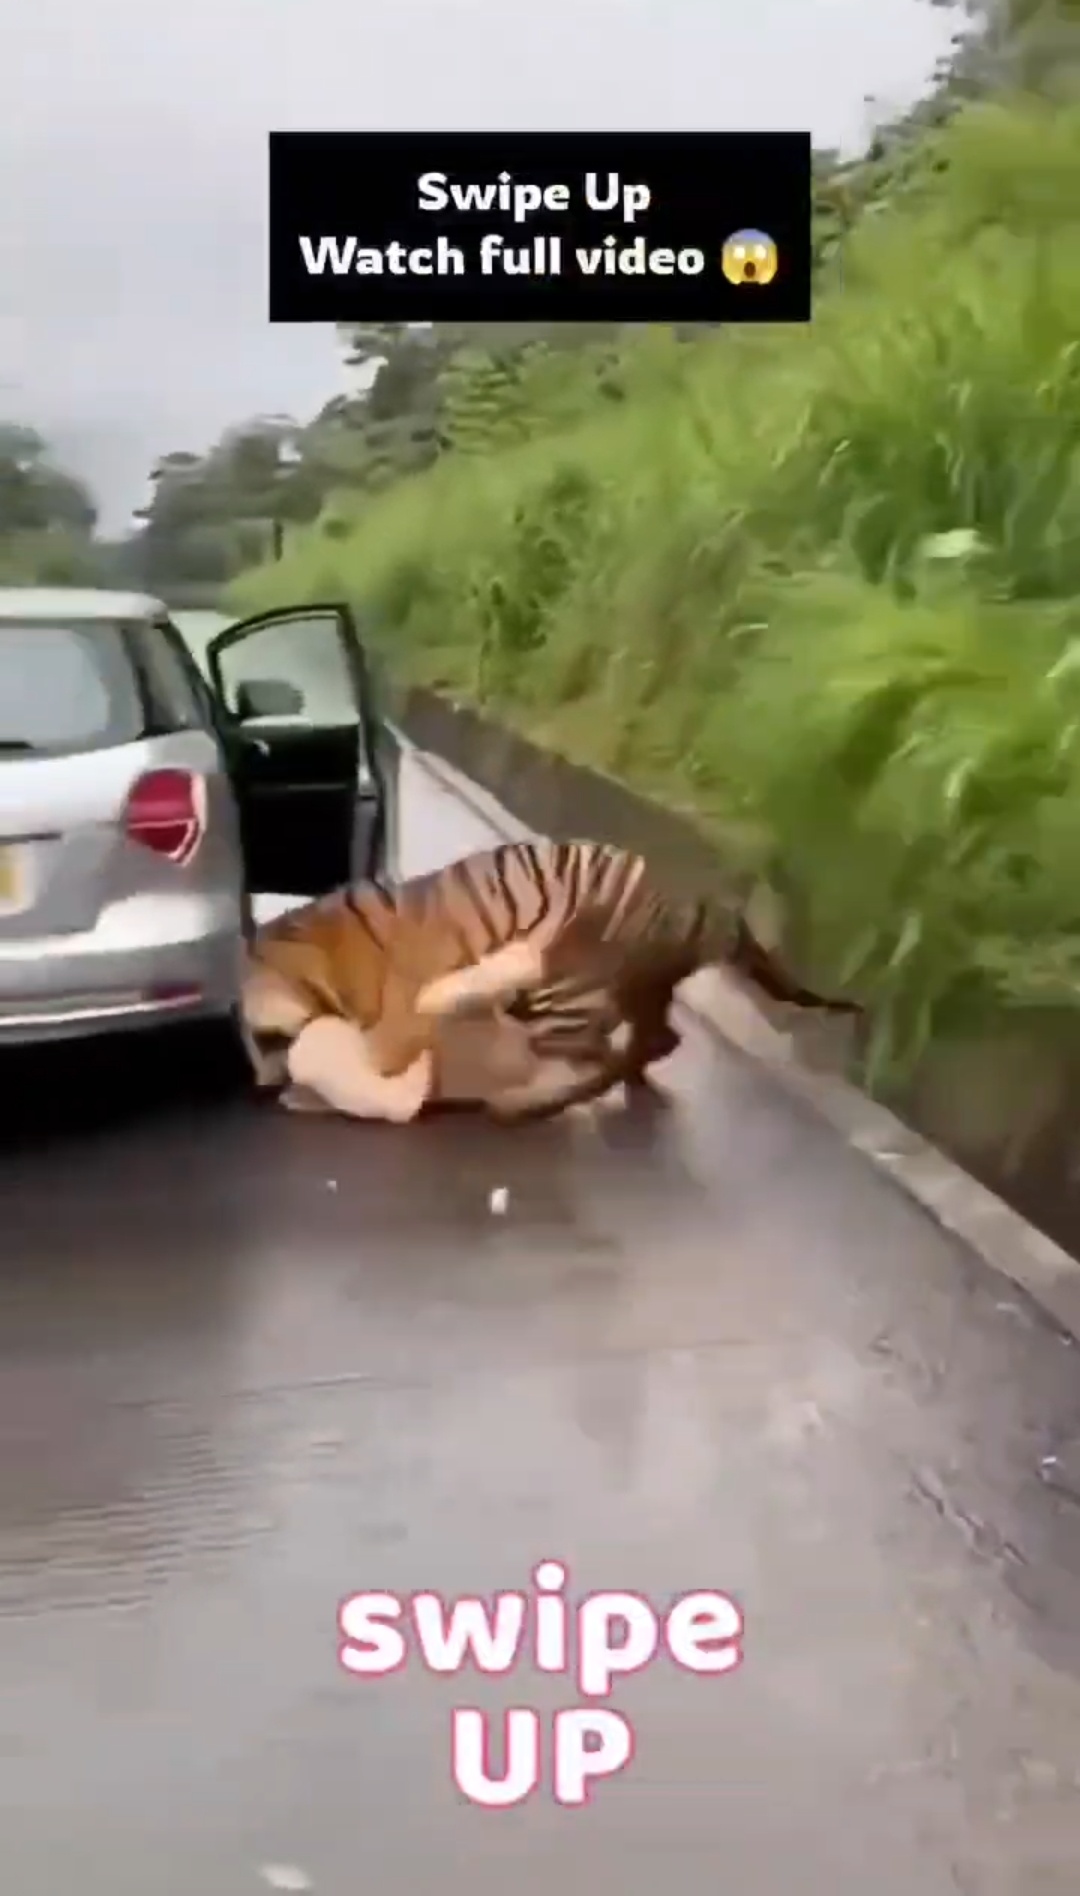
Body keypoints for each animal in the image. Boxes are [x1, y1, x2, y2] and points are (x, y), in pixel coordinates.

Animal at [241, 838, 858, 1125]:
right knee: (654, 1039)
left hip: (567, 987)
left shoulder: (390, 1034)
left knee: (599, 1050)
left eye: (254, 1037)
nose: (255, 1084)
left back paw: (530, 1104)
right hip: (634, 990)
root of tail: (695, 901)